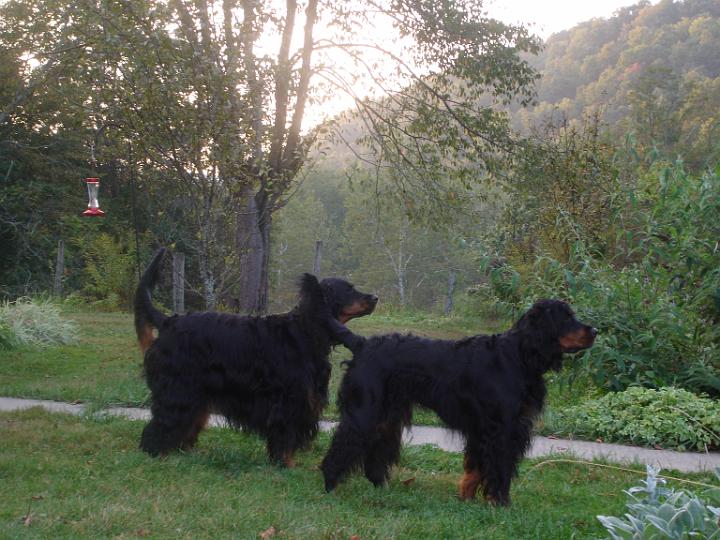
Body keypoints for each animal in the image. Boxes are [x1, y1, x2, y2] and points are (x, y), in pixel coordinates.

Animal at [134, 248, 376, 464]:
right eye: (348, 290)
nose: (375, 297)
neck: (305, 331)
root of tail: (168, 321)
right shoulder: (288, 401)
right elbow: (285, 438)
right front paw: (285, 466)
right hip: (178, 390)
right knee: (161, 425)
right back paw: (158, 454)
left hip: (198, 394)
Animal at [320, 300, 596, 506]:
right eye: (566, 318)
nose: (594, 331)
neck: (518, 356)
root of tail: (362, 344)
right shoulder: (502, 429)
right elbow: (500, 469)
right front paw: (501, 503)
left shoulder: (481, 430)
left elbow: (474, 469)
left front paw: (467, 499)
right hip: (364, 412)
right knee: (341, 447)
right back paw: (331, 486)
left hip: (387, 417)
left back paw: (381, 486)